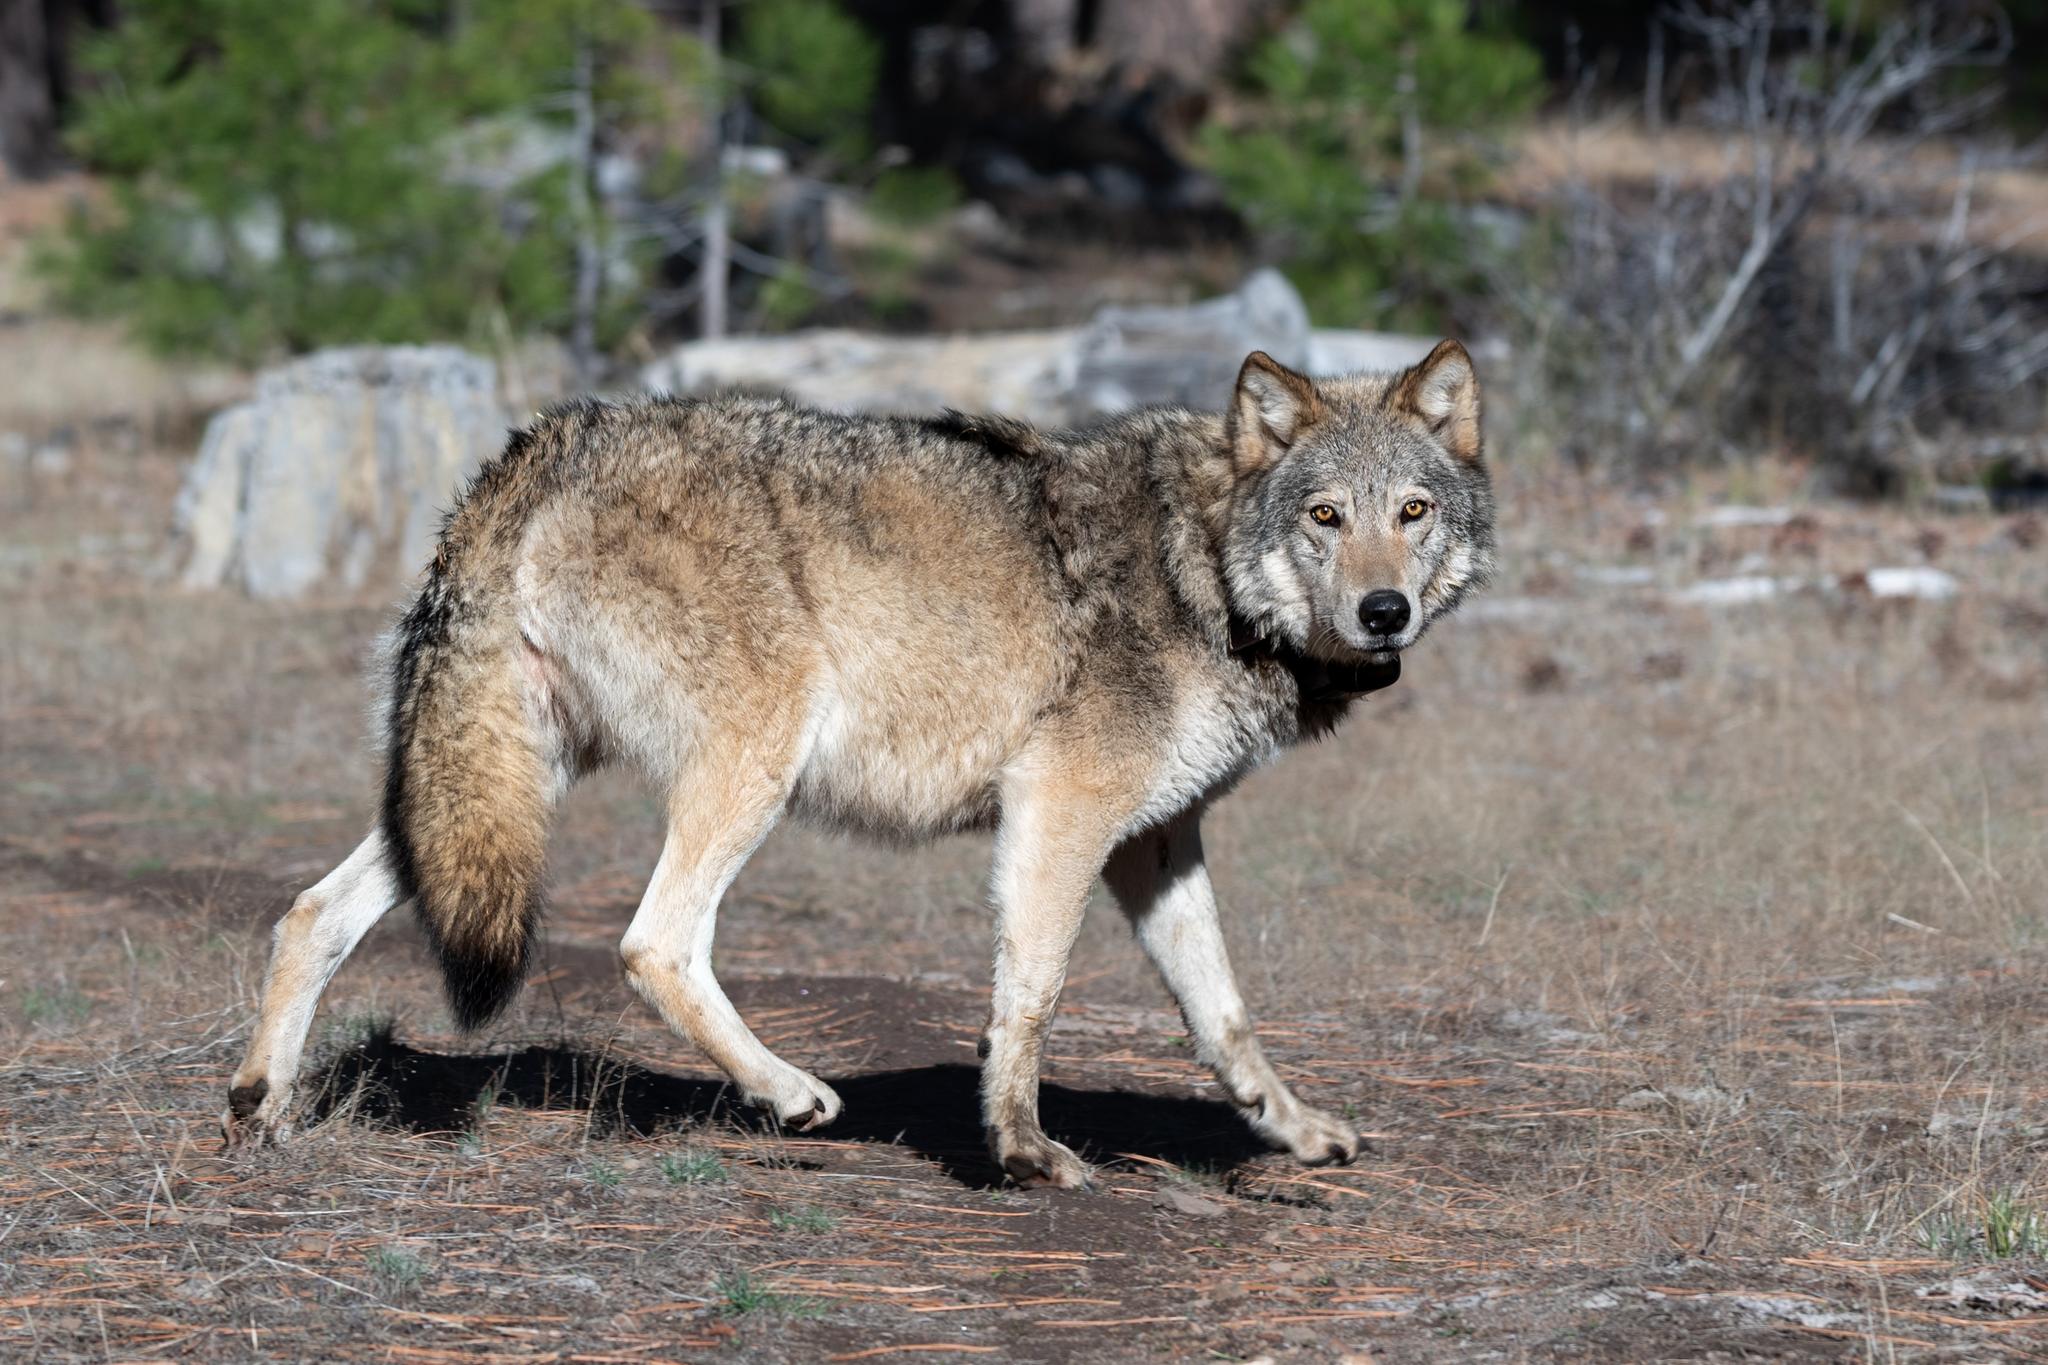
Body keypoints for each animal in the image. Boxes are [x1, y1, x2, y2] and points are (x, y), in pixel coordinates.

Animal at [221, 341, 1495, 1187]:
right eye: (1324, 517)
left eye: (1411, 512)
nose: (1382, 612)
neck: (1209, 575)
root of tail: (544, 442)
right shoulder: (1060, 812)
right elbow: (1031, 993)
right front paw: (1022, 1149)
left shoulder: (1152, 843)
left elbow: (1222, 1014)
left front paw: (1293, 1131)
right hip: (746, 769)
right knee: (651, 945)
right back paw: (790, 1096)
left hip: (487, 792)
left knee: (310, 913)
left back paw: (258, 1109)